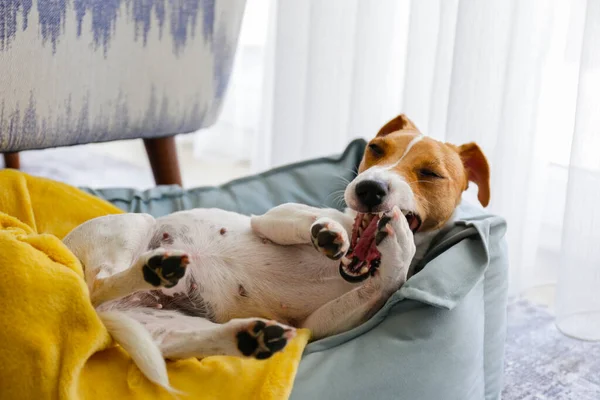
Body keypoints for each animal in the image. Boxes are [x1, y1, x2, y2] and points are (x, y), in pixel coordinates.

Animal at [63, 114, 490, 390]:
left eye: (430, 173)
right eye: (375, 149)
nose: (369, 188)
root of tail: (100, 314)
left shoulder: (319, 324)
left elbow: (388, 279)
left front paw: (396, 247)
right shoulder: (271, 218)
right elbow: (306, 219)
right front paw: (330, 231)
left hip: (166, 326)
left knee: (188, 342)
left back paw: (249, 338)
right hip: (133, 227)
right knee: (104, 281)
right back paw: (156, 269)